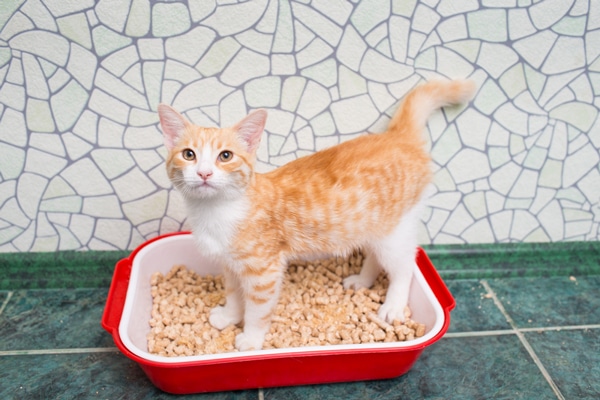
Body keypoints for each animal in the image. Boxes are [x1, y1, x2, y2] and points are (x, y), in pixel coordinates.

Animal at [157, 79, 476, 352]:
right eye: (188, 154)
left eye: (225, 156)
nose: (204, 173)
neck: (216, 211)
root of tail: (396, 137)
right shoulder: (231, 265)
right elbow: (235, 293)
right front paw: (229, 316)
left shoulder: (264, 271)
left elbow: (258, 309)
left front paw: (251, 338)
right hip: (370, 225)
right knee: (376, 254)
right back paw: (363, 280)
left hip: (394, 230)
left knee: (405, 265)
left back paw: (393, 305)